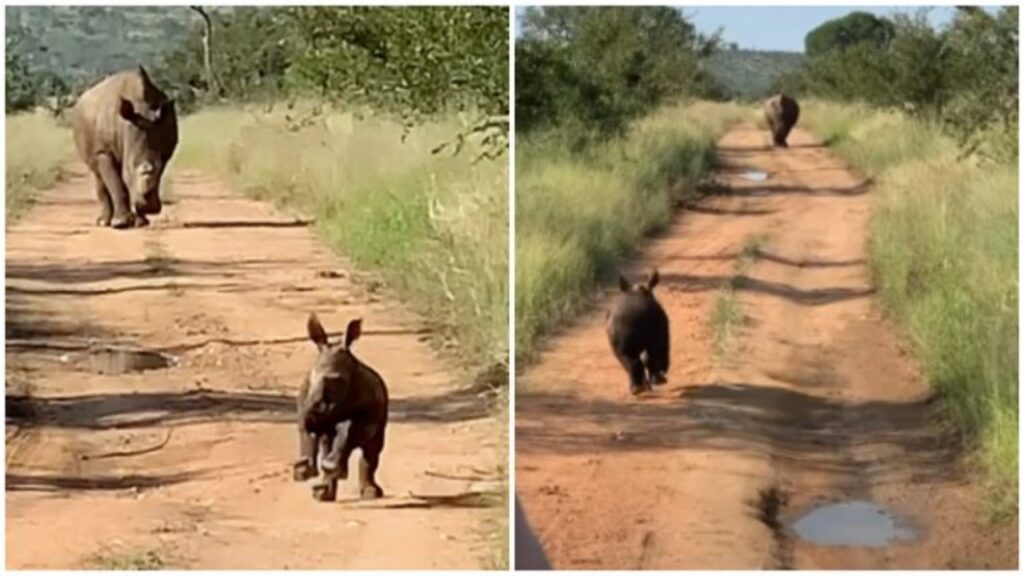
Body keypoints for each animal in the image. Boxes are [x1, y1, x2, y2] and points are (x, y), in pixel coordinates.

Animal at [71, 66, 178, 227]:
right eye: (129, 167)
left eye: (160, 165)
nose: (150, 208)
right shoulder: (104, 151)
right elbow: (117, 183)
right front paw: (121, 223)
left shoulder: (165, 150)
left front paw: (141, 222)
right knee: (97, 173)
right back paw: (104, 222)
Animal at [299, 313, 393, 498]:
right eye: (311, 378)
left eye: (338, 380)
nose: (313, 415)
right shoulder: (307, 400)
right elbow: (311, 433)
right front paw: (304, 470)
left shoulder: (368, 412)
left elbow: (350, 430)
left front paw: (332, 467)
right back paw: (323, 492)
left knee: (372, 449)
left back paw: (370, 492)